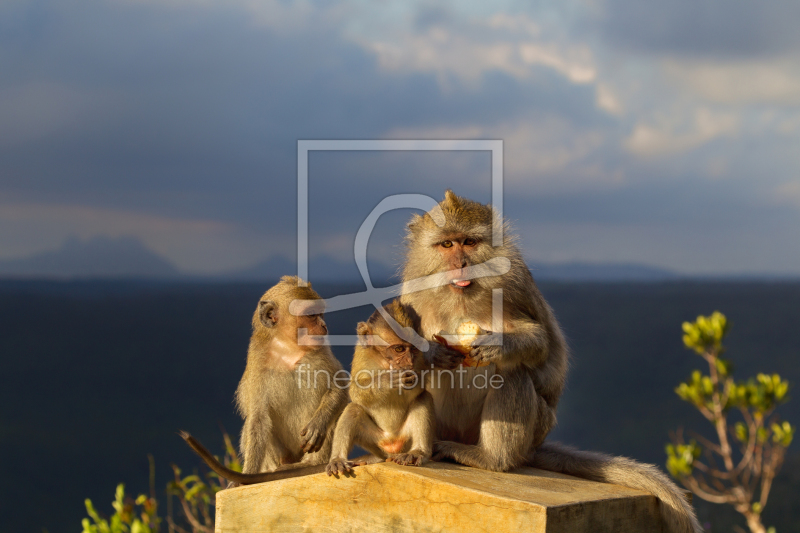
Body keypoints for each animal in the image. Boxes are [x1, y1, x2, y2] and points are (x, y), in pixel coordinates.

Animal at [183, 276, 348, 484]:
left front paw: (319, 423)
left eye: (321, 314)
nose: (324, 326)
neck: (288, 348)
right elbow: (258, 418)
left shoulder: (322, 351)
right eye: (311, 314)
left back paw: (311, 463)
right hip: (283, 455)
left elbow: (340, 384)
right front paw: (246, 476)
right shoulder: (257, 360)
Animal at [324, 300, 434, 478]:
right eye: (399, 349)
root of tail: (392, 445)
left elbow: (421, 386)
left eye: (414, 349)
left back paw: (417, 452)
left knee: (423, 398)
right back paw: (338, 459)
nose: (409, 362)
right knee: (353, 409)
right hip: (374, 440)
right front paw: (387, 380)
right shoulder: (361, 352)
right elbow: (355, 391)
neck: (384, 361)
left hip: (405, 439)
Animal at [400, 191, 700, 532]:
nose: (461, 264)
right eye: (447, 245)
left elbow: (539, 342)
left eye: (469, 242)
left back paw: (492, 459)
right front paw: (432, 354)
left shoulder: (513, 285)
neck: (459, 299)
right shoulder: (411, 295)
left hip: (536, 426)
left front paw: (496, 344)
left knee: (511, 373)